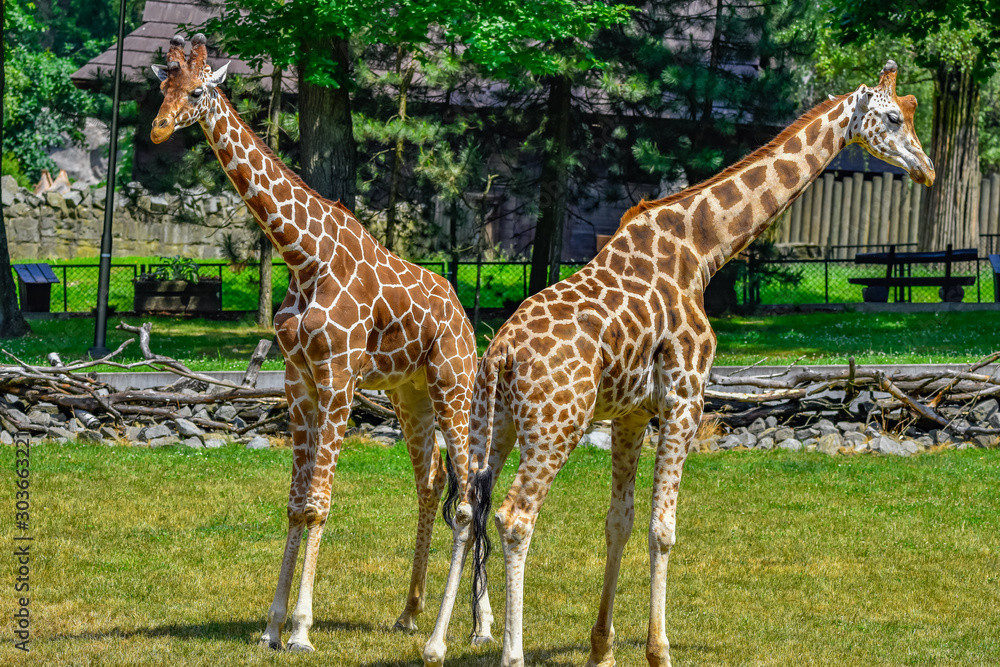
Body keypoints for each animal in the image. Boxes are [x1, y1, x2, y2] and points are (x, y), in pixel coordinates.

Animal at [148, 34, 493, 652]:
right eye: (162, 86)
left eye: (197, 91)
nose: (159, 130)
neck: (302, 256)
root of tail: (461, 313)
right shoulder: (299, 383)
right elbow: (293, 505)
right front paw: (271, 626)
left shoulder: (337, 380)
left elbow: (317, 505)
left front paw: (302, 629)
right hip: (411, 394)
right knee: (432, 484)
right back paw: (414, 614)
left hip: (454, 385)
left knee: (471, 496)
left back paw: (464, 630)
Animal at [422, 60, 935, 667]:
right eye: (894, 117)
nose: (927, 170)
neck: (702, 252)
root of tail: (500, 353)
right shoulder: (685, 398)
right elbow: (662, 529)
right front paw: (659, 650)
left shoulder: (630, 414)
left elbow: (618, 522)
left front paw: (602, 649)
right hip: (555, 424)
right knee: (514, 517)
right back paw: (511, 652)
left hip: (490, 423)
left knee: (466, 508)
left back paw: (435, 643)